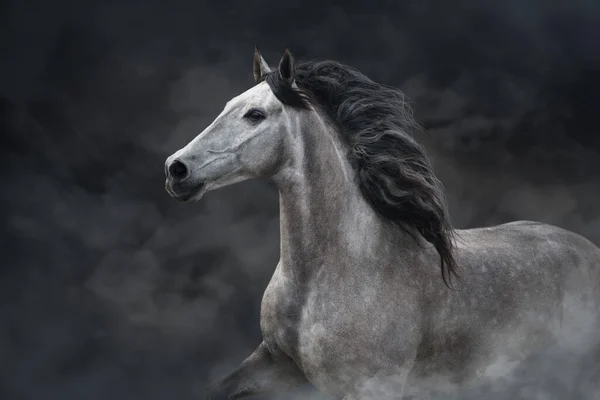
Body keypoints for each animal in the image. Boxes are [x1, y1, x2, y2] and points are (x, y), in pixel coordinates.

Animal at [164, 48, 600, 398]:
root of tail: (587, 249)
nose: (176, 169)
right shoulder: (273, 363)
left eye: (255, 114)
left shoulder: (372, 386)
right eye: (227, 105)